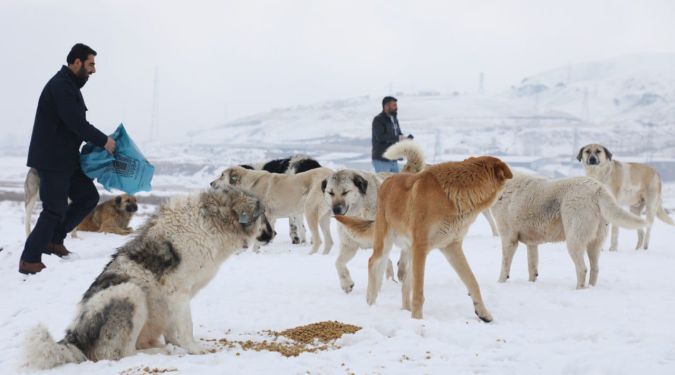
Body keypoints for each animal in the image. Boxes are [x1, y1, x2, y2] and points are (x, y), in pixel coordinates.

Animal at [336, 156, 516, 320]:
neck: (453, 196)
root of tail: (388, 180)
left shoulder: (452, 247)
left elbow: (472, 281)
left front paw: (483, 313)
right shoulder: (422, 246)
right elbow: (418, 293)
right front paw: (418, 321)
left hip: (412, 252)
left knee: (405, 284)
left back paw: (405, 310)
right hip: (387, 243)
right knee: (373, 262)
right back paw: (371, 303)